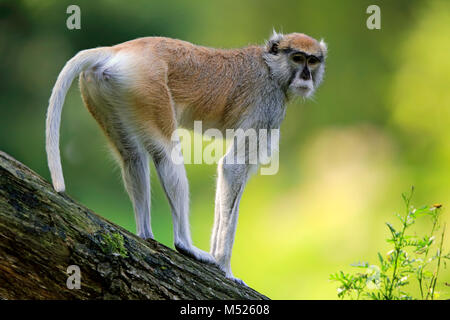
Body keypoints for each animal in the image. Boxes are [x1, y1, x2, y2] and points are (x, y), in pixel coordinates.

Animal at [45, 30, 326, 284]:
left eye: (312, 61)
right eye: (297, 58)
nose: (306, 76)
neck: (271, 68)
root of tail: (119, 50)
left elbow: (232, 175)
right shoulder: (268, 107)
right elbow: (232, 167)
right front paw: (224, 267)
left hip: (107, 90)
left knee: (131, 156)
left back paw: (145, 234)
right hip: (147, 88)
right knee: (166, 154)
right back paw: (185, 245)